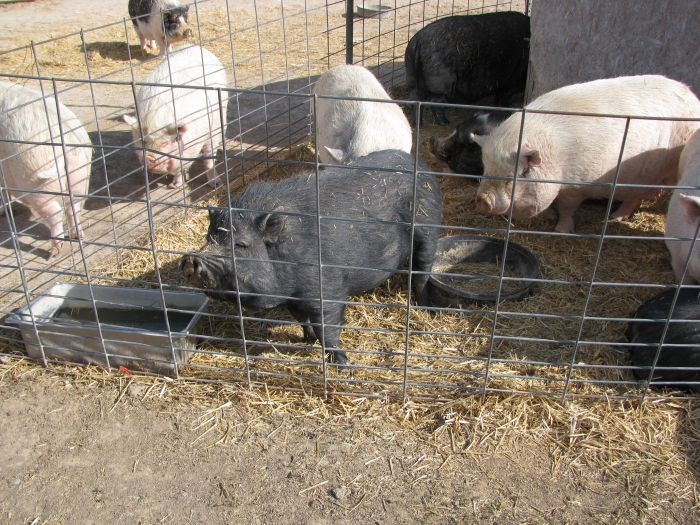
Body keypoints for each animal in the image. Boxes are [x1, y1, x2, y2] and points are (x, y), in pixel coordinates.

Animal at [0, 81, 91, 259]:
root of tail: (63, 142)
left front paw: (3, 212)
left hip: (36, 178)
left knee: (55, 213)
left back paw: (54, 253)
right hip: (80, 175)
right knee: (74, 207)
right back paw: (77, 236)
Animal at [122, 44, 228, 188]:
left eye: (166, 142)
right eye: (144, 142)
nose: (149, 158)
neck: (158, 115)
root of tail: (193, 45)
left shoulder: (211, 130)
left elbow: (208, 159)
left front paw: (216, 184)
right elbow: (180, 168)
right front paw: (174, 186)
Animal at [180, 149, 443, 366]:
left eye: (240, 245)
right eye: (209, 238)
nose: (191, 260)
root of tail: (420, 164)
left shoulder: (327, 288)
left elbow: (328, 329)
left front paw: (342, 364)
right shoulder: (293, 297)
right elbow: (302, 320)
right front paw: (306, 341)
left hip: (428, 227)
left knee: (421, 272)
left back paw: (427, 309)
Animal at [472, 75, 700, 234]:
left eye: (516, 175)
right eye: (486, 168)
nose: (482, 198)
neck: (556, 158)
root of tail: (691, 94)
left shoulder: (577, 185)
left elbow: (567, 207)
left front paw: (561, 231)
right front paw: (549, 216)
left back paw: (614, 218)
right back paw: (616, 217)